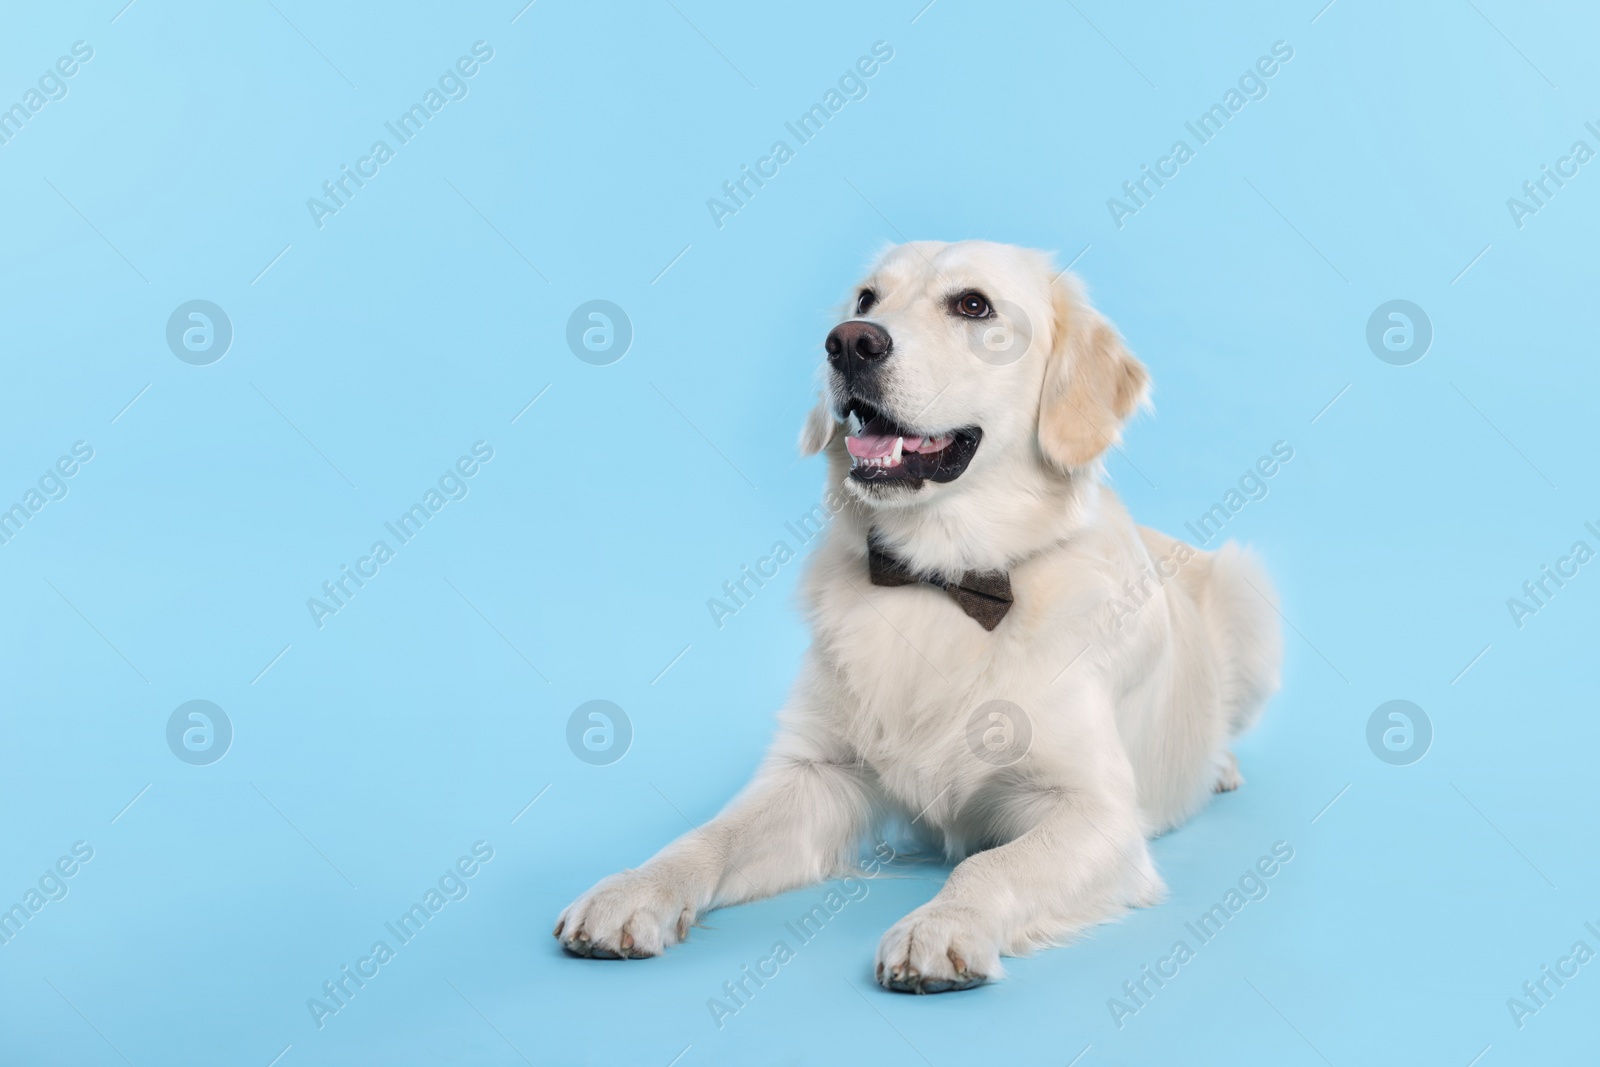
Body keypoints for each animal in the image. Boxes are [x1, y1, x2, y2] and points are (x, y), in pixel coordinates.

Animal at [556, 239, 1280, 991]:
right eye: (866, 299)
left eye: (973, 305)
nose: (848, 342)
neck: (939, 577)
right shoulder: (816, 772)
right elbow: (710, 834)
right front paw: (633, 889)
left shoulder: (1093, 811)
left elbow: (991, 863)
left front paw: (943, 924)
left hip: (1249, 590)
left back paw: (1220, 766)